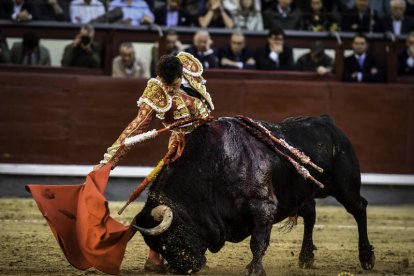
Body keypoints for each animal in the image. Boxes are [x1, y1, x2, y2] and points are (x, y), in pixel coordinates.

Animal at [132, 115, 376, 274]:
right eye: (156, 246)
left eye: (169, 238)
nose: (183, 269)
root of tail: (328, 122)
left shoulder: (264, 208)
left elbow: (258, 242)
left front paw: (255, 269)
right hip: (301, 193)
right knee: (310, 214)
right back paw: (306, 257)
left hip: (345, 186)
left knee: (359, 208)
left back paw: (366, 258)